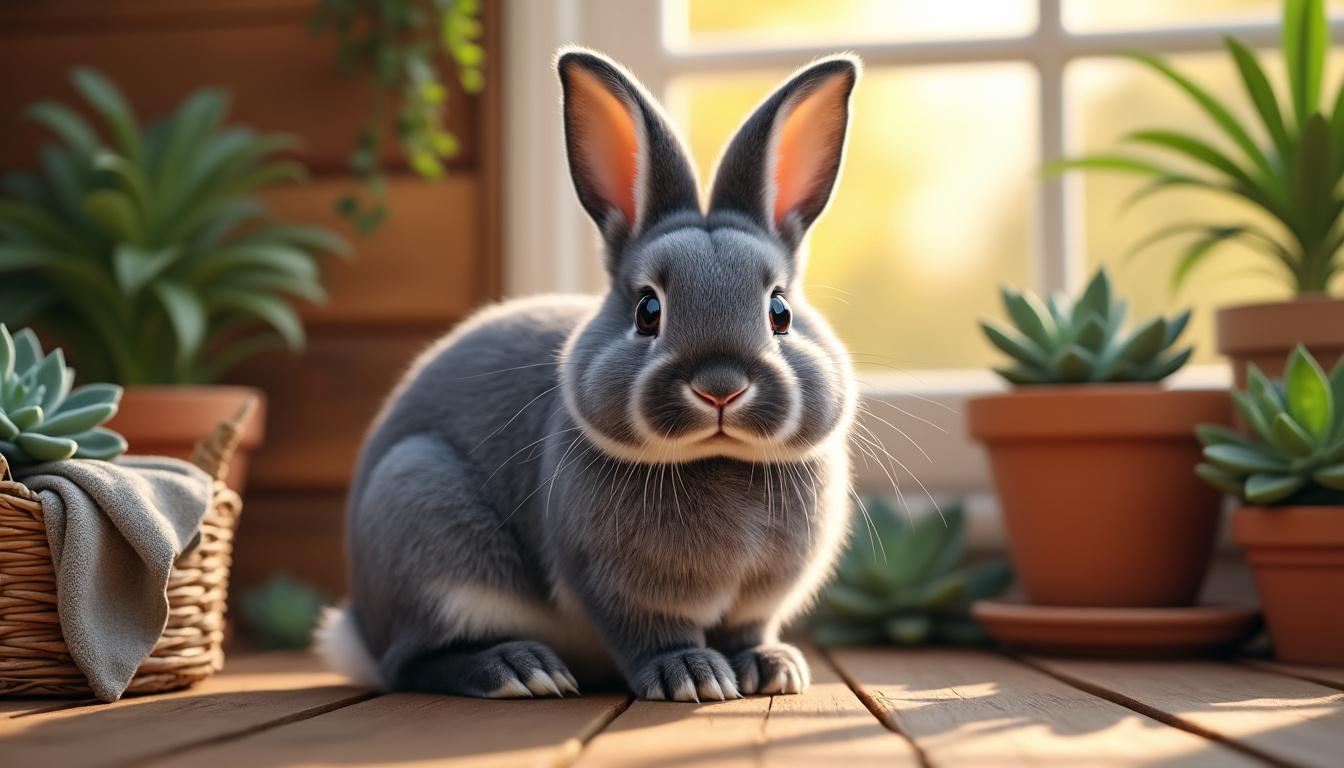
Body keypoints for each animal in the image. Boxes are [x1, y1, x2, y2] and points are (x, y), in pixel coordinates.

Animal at [317, 48, 860, 702]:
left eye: (780, 312)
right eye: (648, 310)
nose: (720, 387)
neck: (717, 458)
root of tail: (359, 630)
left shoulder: (755, 602)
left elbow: (746, 631)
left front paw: (770, 668)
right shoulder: (616, 590)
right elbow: (652, 635)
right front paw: (692, 677)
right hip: (420, 512)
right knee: (414, 662)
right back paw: (519, 670)